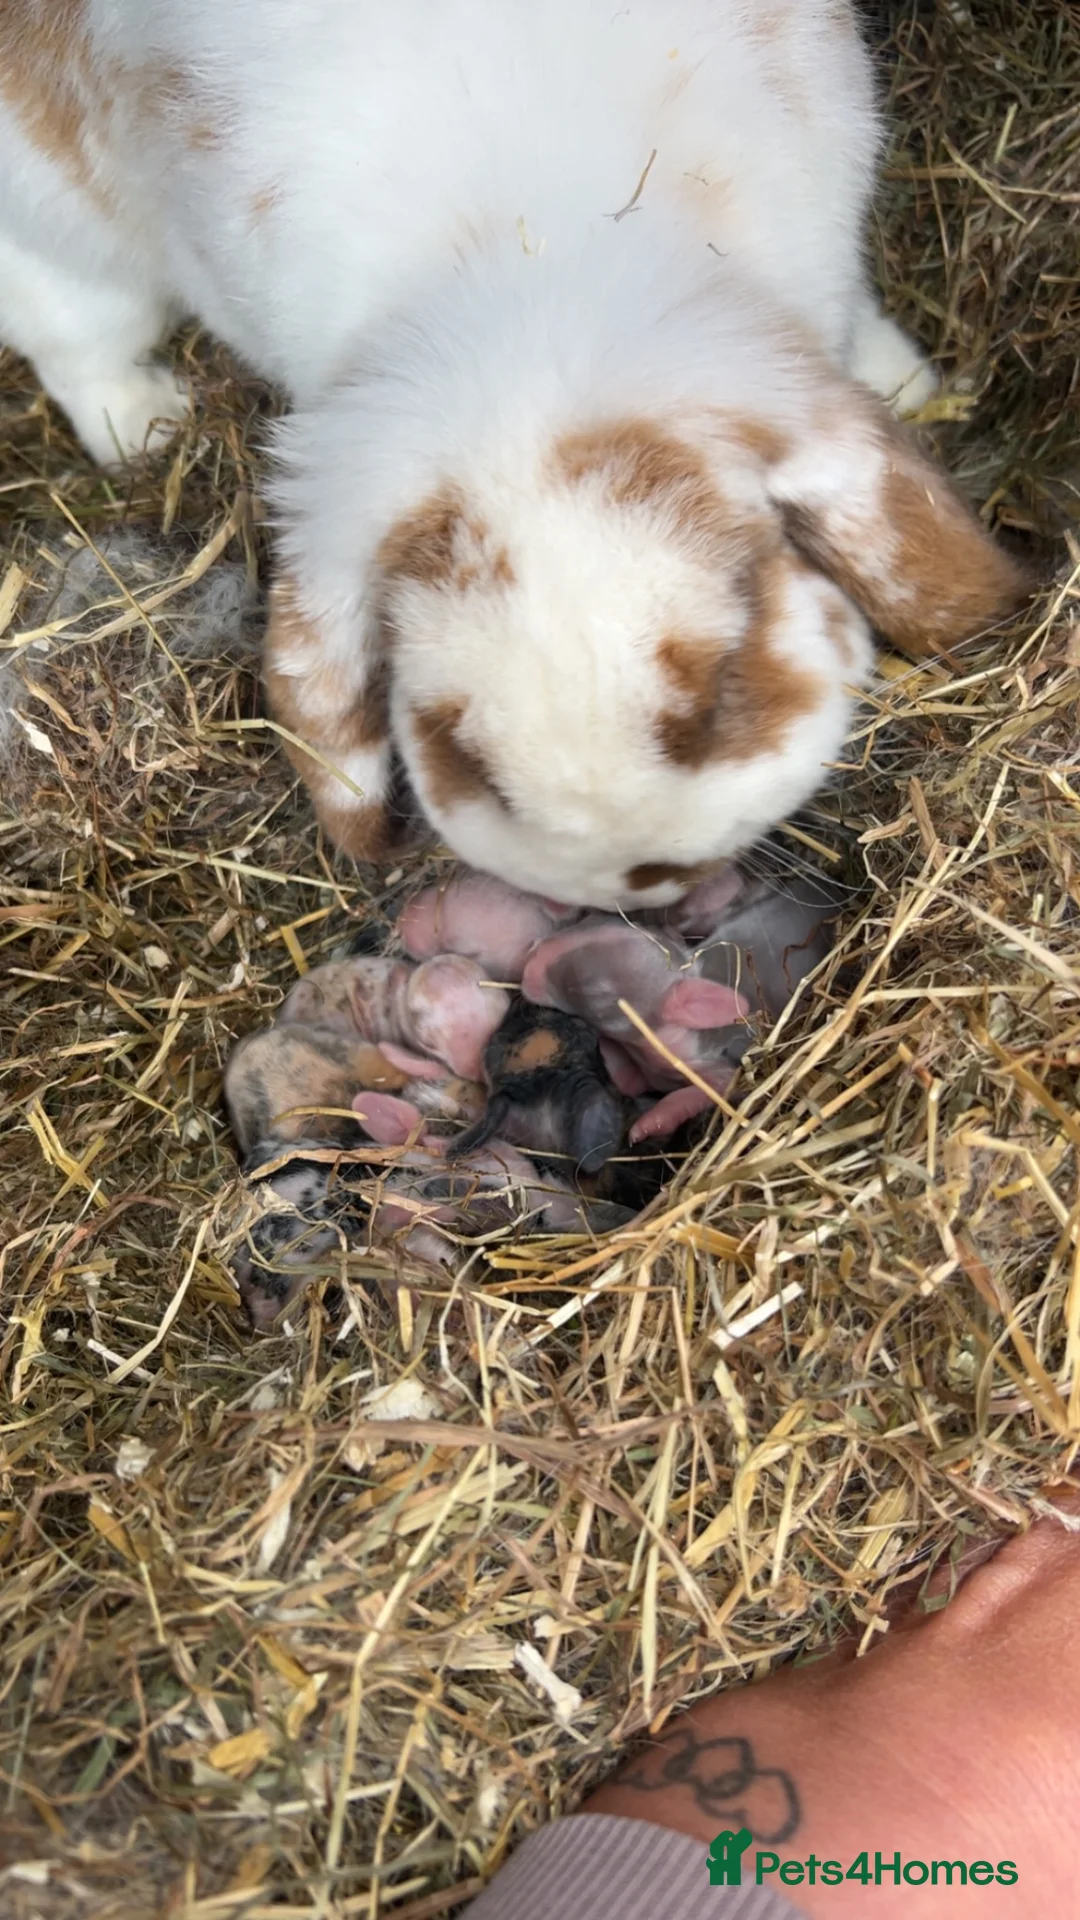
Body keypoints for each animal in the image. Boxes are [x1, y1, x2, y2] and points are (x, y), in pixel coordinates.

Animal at [1, 2, 1028, 911]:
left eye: (720, 690)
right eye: (465, 758)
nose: (642, 877)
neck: (532, 247)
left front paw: (912, 385)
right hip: (66, 239)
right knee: (73, 338)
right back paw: (145, 427)